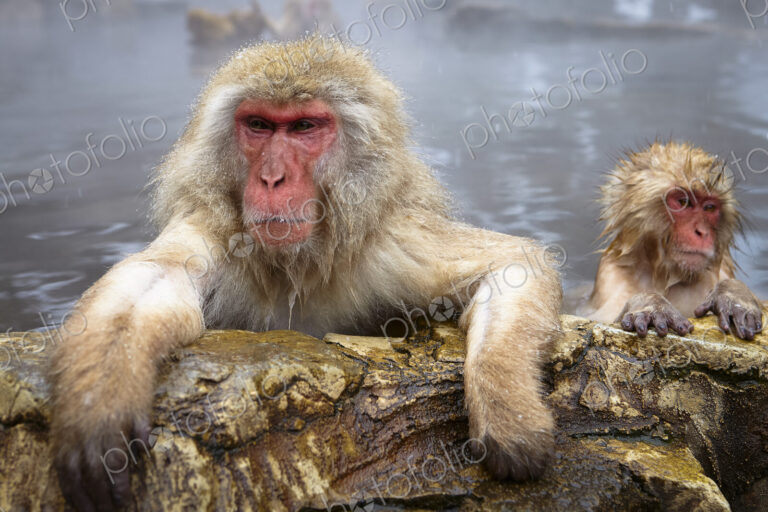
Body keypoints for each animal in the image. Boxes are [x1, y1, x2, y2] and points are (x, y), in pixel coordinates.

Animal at [48, 37, 562, 510]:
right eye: (258, 125)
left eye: (303, 127)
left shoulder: (387, 244)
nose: (272, 178)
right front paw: (100, 401)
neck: (297, 264)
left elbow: (513, 262)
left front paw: (509, 413)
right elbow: (153, 282)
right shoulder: (214, 231)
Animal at [587, 141, 763, 341]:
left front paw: (734, 294)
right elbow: (603, 320)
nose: (702, 232)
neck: (668, 276)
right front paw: (651, 304)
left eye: (709, 207)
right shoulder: (611, 277)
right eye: (683, 202)